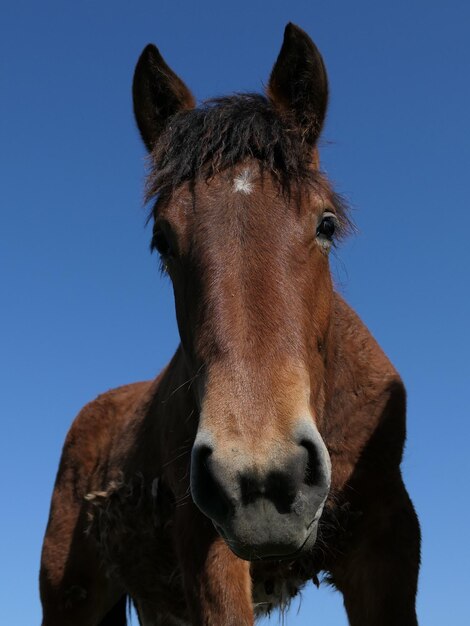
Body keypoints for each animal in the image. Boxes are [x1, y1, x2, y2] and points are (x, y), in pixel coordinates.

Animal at [40, 23, 420, 624]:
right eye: (162, 241)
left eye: (326, 224)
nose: (262, 480)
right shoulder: (209, 550)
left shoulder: (389, 544)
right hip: (71, 597)